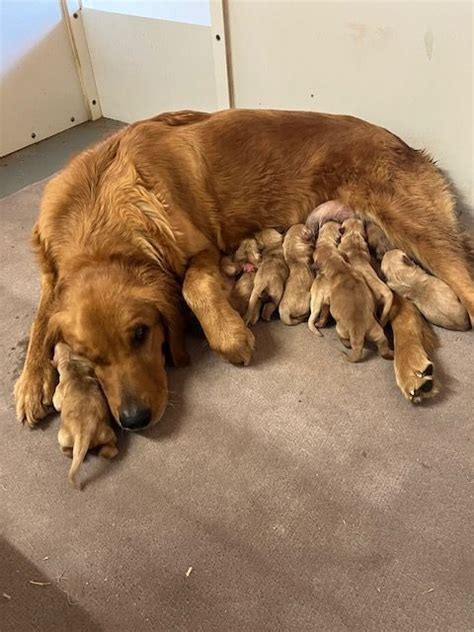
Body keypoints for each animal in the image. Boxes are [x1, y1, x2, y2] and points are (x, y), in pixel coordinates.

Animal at [51, 344, 117, 486]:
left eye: (54, 352)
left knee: (65, 448)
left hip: (63, 436)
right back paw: (104, 451)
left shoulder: (59, 390)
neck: (71, 363)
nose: (57, 343)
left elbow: (56, 403)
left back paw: (69, 453)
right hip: (106, 433)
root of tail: (84, 435)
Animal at [312, 223, 392, 360]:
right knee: (383, 346)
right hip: (378, 333)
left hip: (340, 328)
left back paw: (346, 345)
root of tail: (358, 334)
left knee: (344, 339)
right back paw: (390, 354)